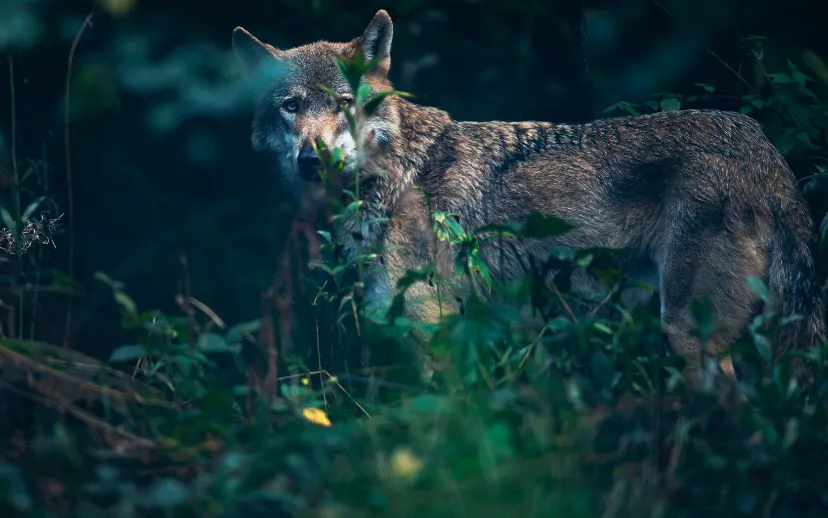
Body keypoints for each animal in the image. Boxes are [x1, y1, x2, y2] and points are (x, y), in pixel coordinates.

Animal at [232, 10, 827, 389]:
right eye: (291, 106)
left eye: (342, 103)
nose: (312, 160)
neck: (396, 175)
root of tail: (761, 146)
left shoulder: (432, 333)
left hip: (687, 337)